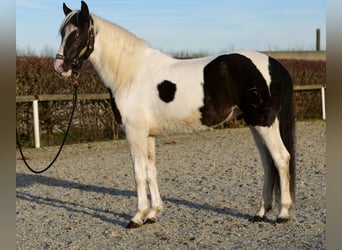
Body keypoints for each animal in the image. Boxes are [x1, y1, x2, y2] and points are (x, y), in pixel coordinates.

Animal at [54, 0, 296, 229]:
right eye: (62, 33)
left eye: (77, 33)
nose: (60, 67)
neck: (131, 74)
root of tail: (275, 65)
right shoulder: (148, 135)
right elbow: (151, 171)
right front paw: (153, 214)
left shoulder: (134, 132)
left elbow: (138, 172)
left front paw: (137, 217)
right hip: (255, 123)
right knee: (268, 163)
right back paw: (261, 213)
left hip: (264, 122)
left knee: (281, 158)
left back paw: (283, 214)